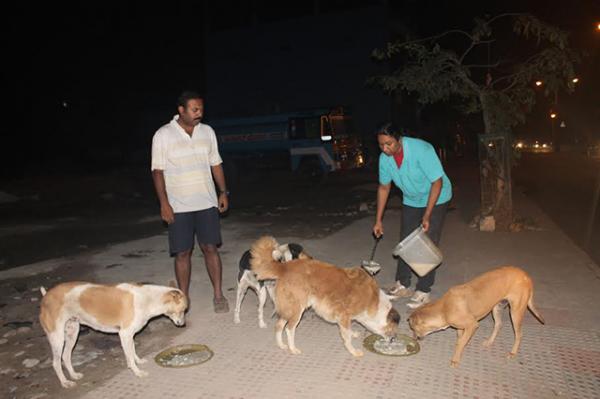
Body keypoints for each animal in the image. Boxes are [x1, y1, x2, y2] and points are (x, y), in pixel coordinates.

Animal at [39, 282, 188, 388]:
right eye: (183, 310)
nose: (183, 324)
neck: (148, 299)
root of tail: (46, 295)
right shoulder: (125, 334)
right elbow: (130, 357)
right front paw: (137, 372)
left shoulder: (129, 335)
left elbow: (132, 351)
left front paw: (138, 361)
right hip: (57, 338)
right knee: (56, 363)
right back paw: (65, 382)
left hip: (72, 333)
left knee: (65, 356)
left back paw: (74, 375)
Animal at [248, 236, 398, 358]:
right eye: (393, 329)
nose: (394, 340)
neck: (374, 300)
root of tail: (285, 267)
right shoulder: (343, 316)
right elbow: (347, 337)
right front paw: (353, 351)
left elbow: (349, 329)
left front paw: (353, 333)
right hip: (297, 309)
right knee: (289, 329)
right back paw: (293, 348)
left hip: (289, 309)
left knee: (279, 325)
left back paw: (281, 345)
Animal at [408, 266, 544, 368]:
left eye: (413, 329)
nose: (414, 338)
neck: (444, 308)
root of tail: (526, 275)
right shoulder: (461, 327)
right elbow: (460, 338)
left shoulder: (472, 325)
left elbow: (461, 342)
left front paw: (455, 359)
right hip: (496, 307)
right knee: (498, 325)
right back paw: (489, 342)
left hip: (516, 312)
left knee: (519, 334)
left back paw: (512, 352)